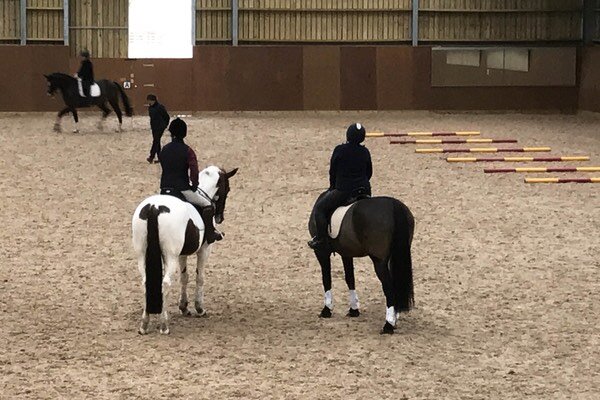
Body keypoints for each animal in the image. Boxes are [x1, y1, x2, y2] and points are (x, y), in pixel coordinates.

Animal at [132, 166, 238, 334]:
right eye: (227, 189)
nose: (220, 218)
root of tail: (154, 207)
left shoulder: (182, 254)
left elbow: (184, 277)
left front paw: (184, 307)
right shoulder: (204, 250)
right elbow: (199, 277)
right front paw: (199, 309)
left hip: (142, 255)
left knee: (145, 282)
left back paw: (144, 324)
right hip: (170, 256)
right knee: (166, 283)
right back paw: (164, 325)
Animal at [308, 194, 414, 334]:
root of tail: (393, 205)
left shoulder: (321, 252)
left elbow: (326, 279)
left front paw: (327, 310)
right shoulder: (346, 253)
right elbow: (350, 279)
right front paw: (354, 310)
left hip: (379, 261)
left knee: (389, 289)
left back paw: (388, 325)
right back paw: (394, 319)